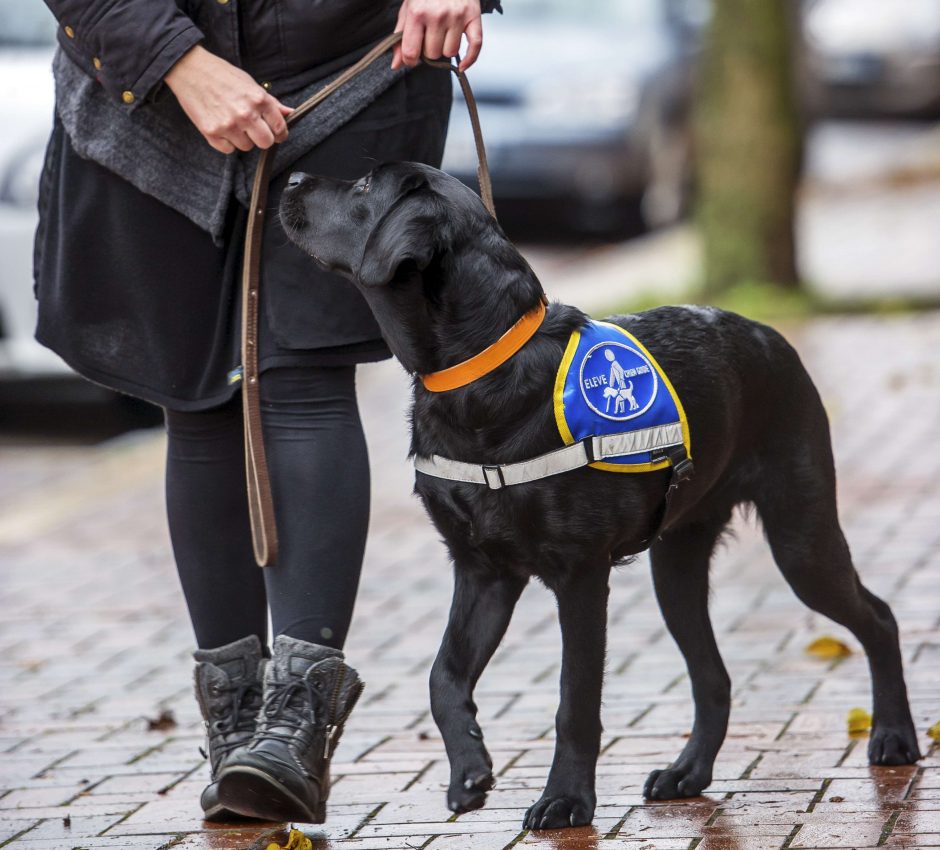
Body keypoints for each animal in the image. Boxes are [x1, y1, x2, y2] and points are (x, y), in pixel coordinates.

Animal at [278, 161, 916, 828]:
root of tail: (770, 334)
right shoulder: (484, 571)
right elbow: (442, 676)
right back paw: (688, 773)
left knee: (878, 617)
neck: (481, 373)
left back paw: (894, 737)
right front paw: (470, 770)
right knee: (713, 677)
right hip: (677, 566)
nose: (289, 177)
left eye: (363, 187)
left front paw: (565, 799)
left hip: (801, 538)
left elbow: (575, 698)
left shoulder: (580, 574)